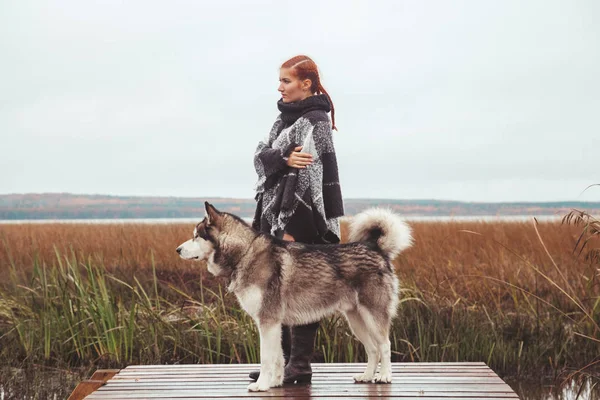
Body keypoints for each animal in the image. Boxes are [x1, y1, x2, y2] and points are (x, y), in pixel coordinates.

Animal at [176, 202, 414, 392]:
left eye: (196, 236)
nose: (177, 249)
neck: (244, 254)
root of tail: (375, 248)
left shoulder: (267, 321)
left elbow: (266, 358)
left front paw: (261, 385)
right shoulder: (274, 324)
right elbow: (279, 357)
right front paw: (274, 383)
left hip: (373, 317)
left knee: (385, 345)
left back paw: (384, 376)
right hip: (356, 320)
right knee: (372, 349)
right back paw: (366, 376)